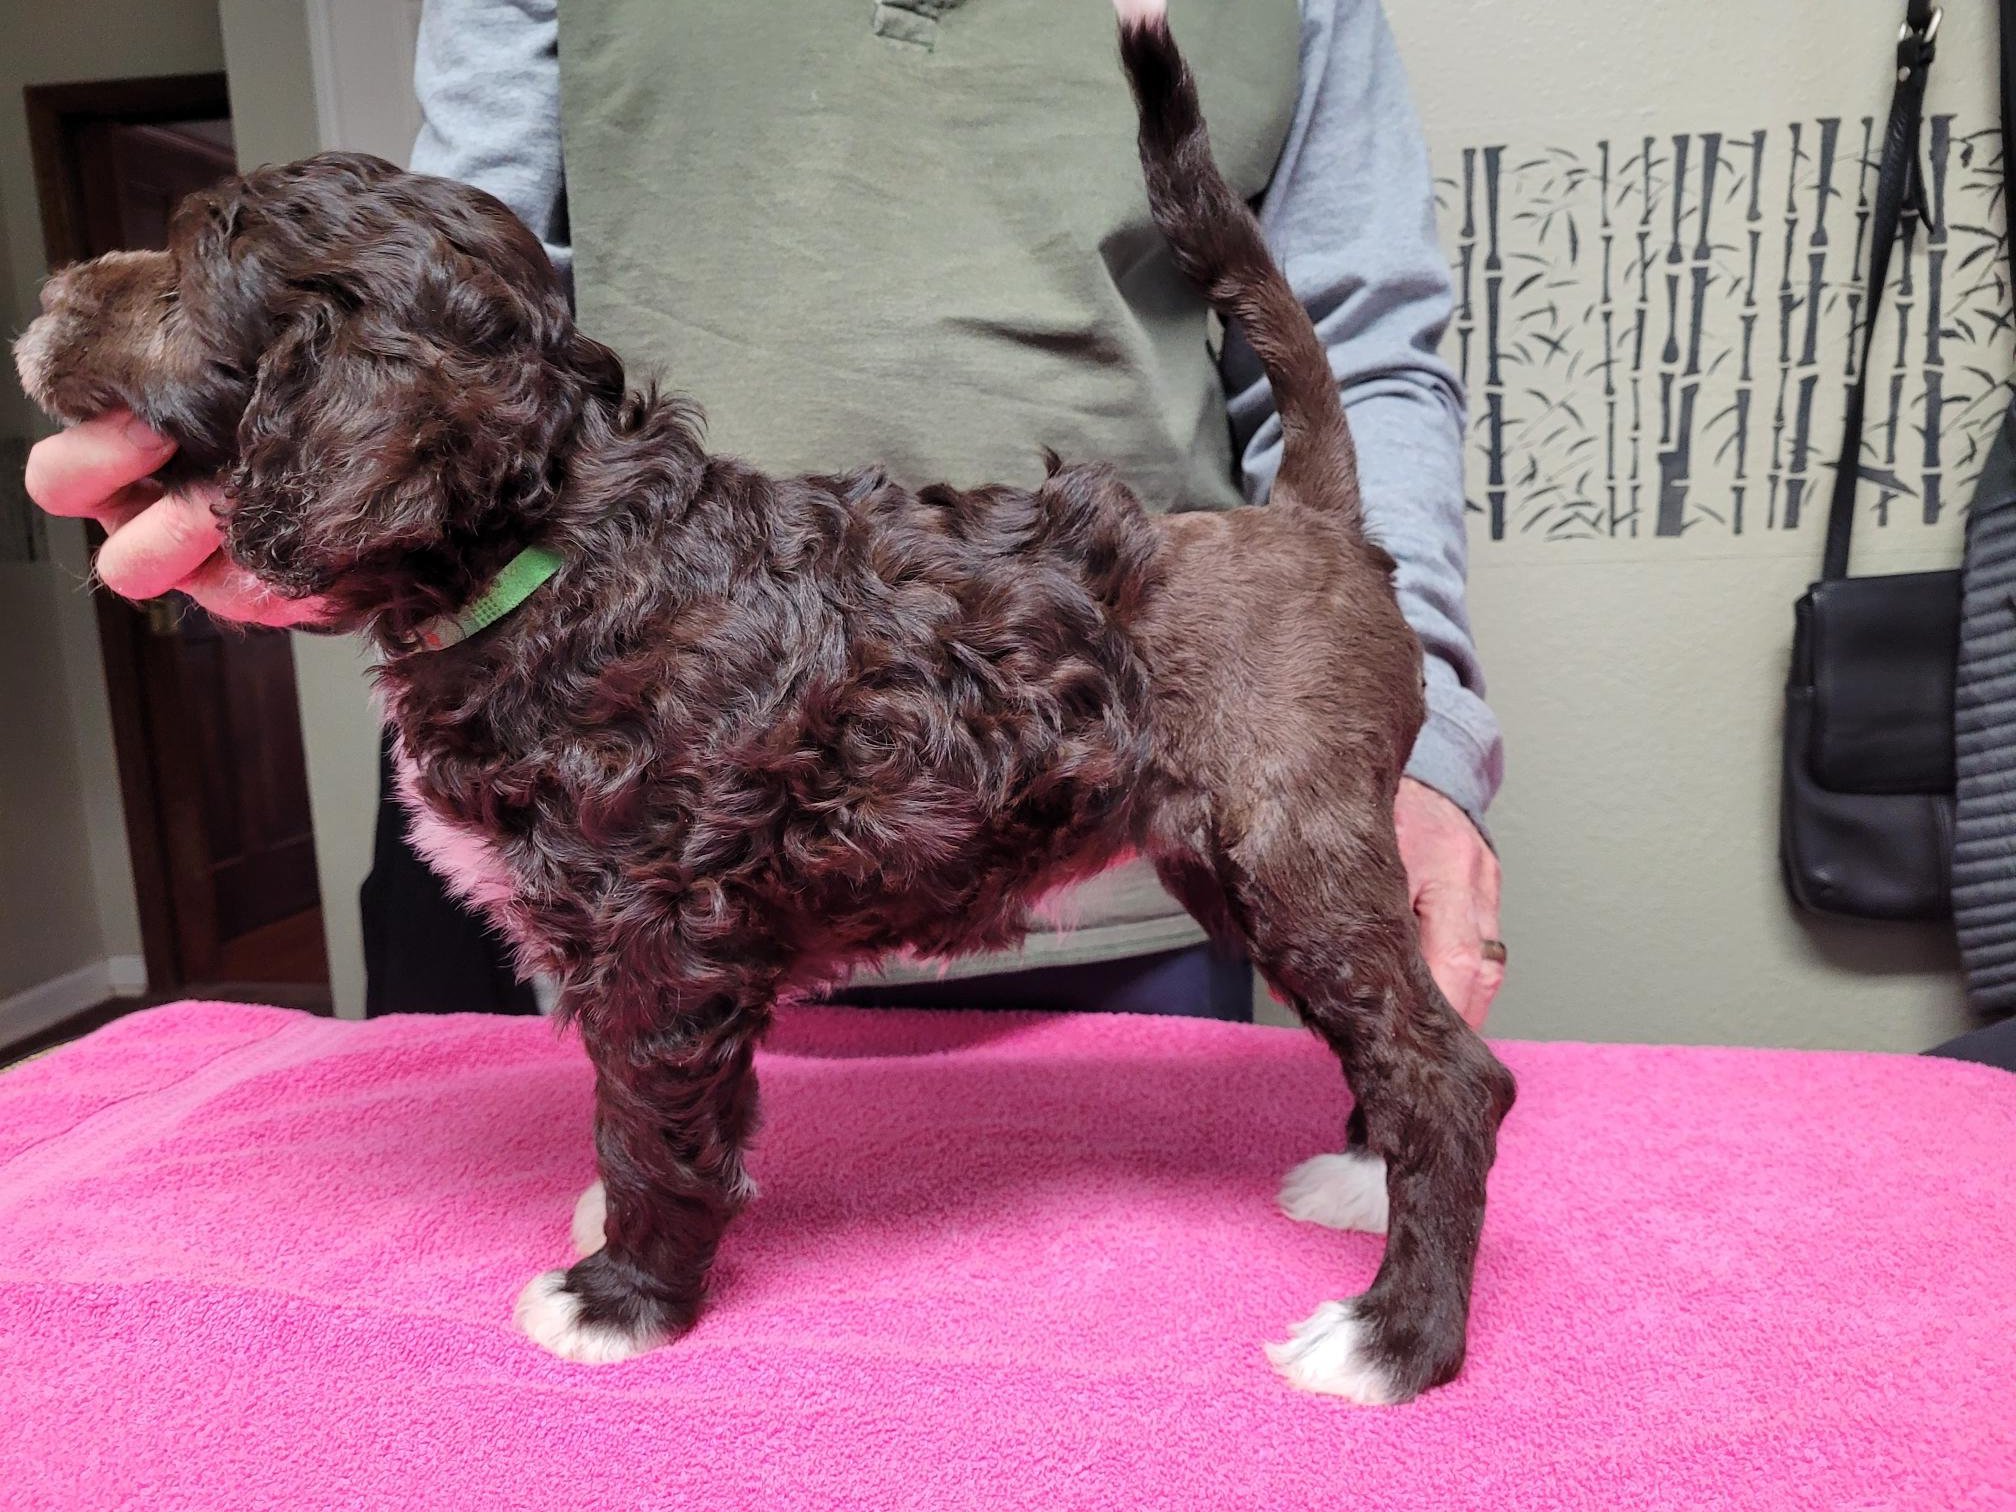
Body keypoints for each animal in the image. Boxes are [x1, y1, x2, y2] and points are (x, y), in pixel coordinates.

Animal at [19, 0, 1516, 1403]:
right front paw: (618, 1232)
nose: (41, 300)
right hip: (1237, 862)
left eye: (192, 265)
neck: (558, 545)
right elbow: (649, 1106)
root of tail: (1310, 519)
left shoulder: (661, 927)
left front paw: (622, 1295)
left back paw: (1393, 1336)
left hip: (1291, 845)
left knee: (1451, 1073)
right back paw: (1359, 1183)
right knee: (1390, 1040)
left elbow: (648, 1113)